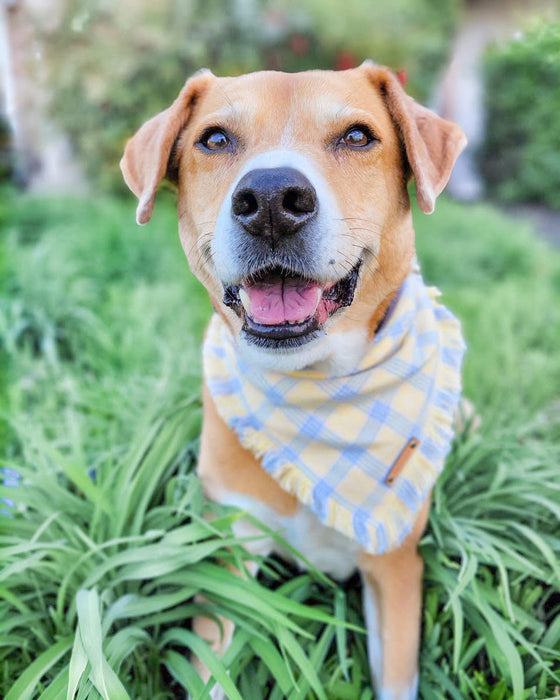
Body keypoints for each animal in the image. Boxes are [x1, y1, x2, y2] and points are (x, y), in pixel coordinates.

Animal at [120, 63, 466, 696]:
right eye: (214, 139)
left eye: (357, 136)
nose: (272, 200)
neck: (315, 385)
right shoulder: (232, 553)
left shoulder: (395, 566)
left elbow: (397, 677)